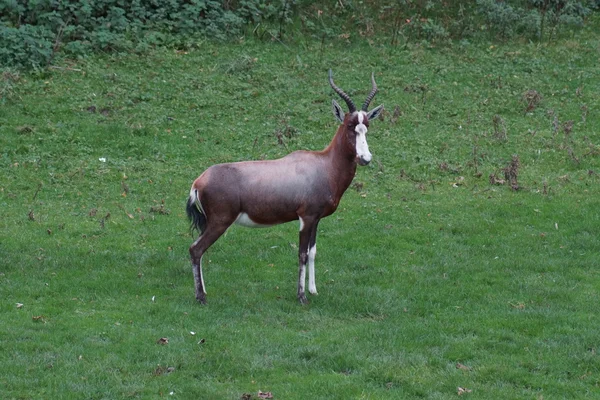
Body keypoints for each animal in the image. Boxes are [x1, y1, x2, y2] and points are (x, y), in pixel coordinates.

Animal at [186, 70, 384, 304]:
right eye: (350, 127)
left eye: (366, 128)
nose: (365, 158)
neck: (323, 164)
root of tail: (199, 181)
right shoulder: (306, 218)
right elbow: (302, 254)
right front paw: (301, 296)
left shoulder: (316, 219)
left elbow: (313, 252)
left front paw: (313, 290)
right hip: (220, 222)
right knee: (196, 249)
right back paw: (200, 297)